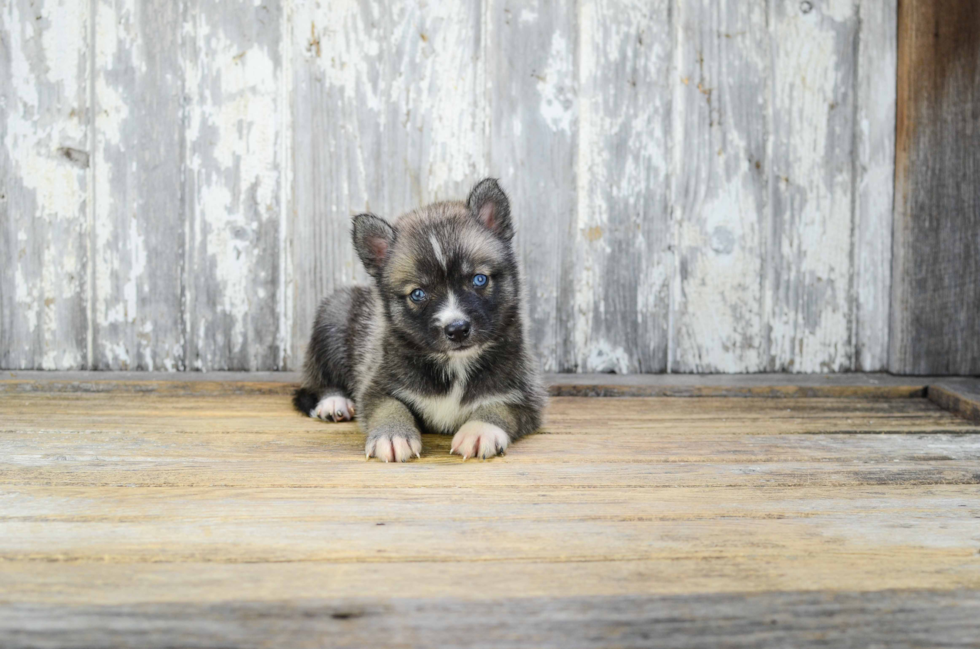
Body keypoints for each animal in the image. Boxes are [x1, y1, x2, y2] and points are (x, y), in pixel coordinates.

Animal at [290, 177, 552, 460]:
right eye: (418, 293)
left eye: (479, 279)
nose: (457, 329)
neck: (455, 365)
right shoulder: (376, 386)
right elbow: (390, 407)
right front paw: (392, 434)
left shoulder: (526, 394)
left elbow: (500, 407)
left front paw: (480, 431)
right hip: (332, 318)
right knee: (319, 379)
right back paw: (333, 401)